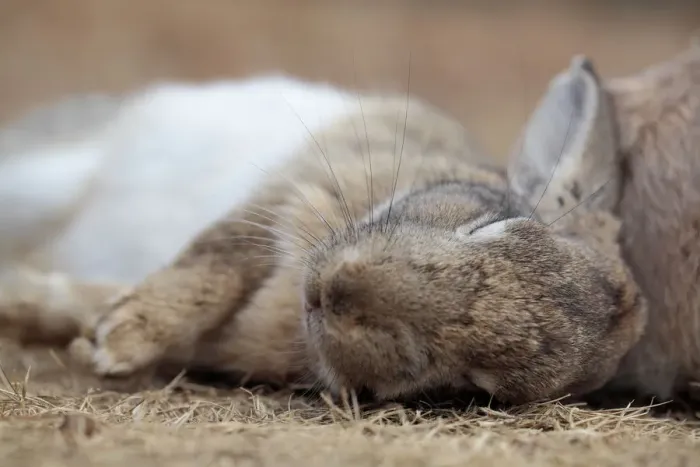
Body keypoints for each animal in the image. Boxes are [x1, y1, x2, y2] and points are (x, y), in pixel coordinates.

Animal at [1, 46, 698, 406]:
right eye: (491, 225)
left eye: (474, 385)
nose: (335, 293)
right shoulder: (289, 192)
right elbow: (219, 260)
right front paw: (123, 336)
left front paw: (96, 334)